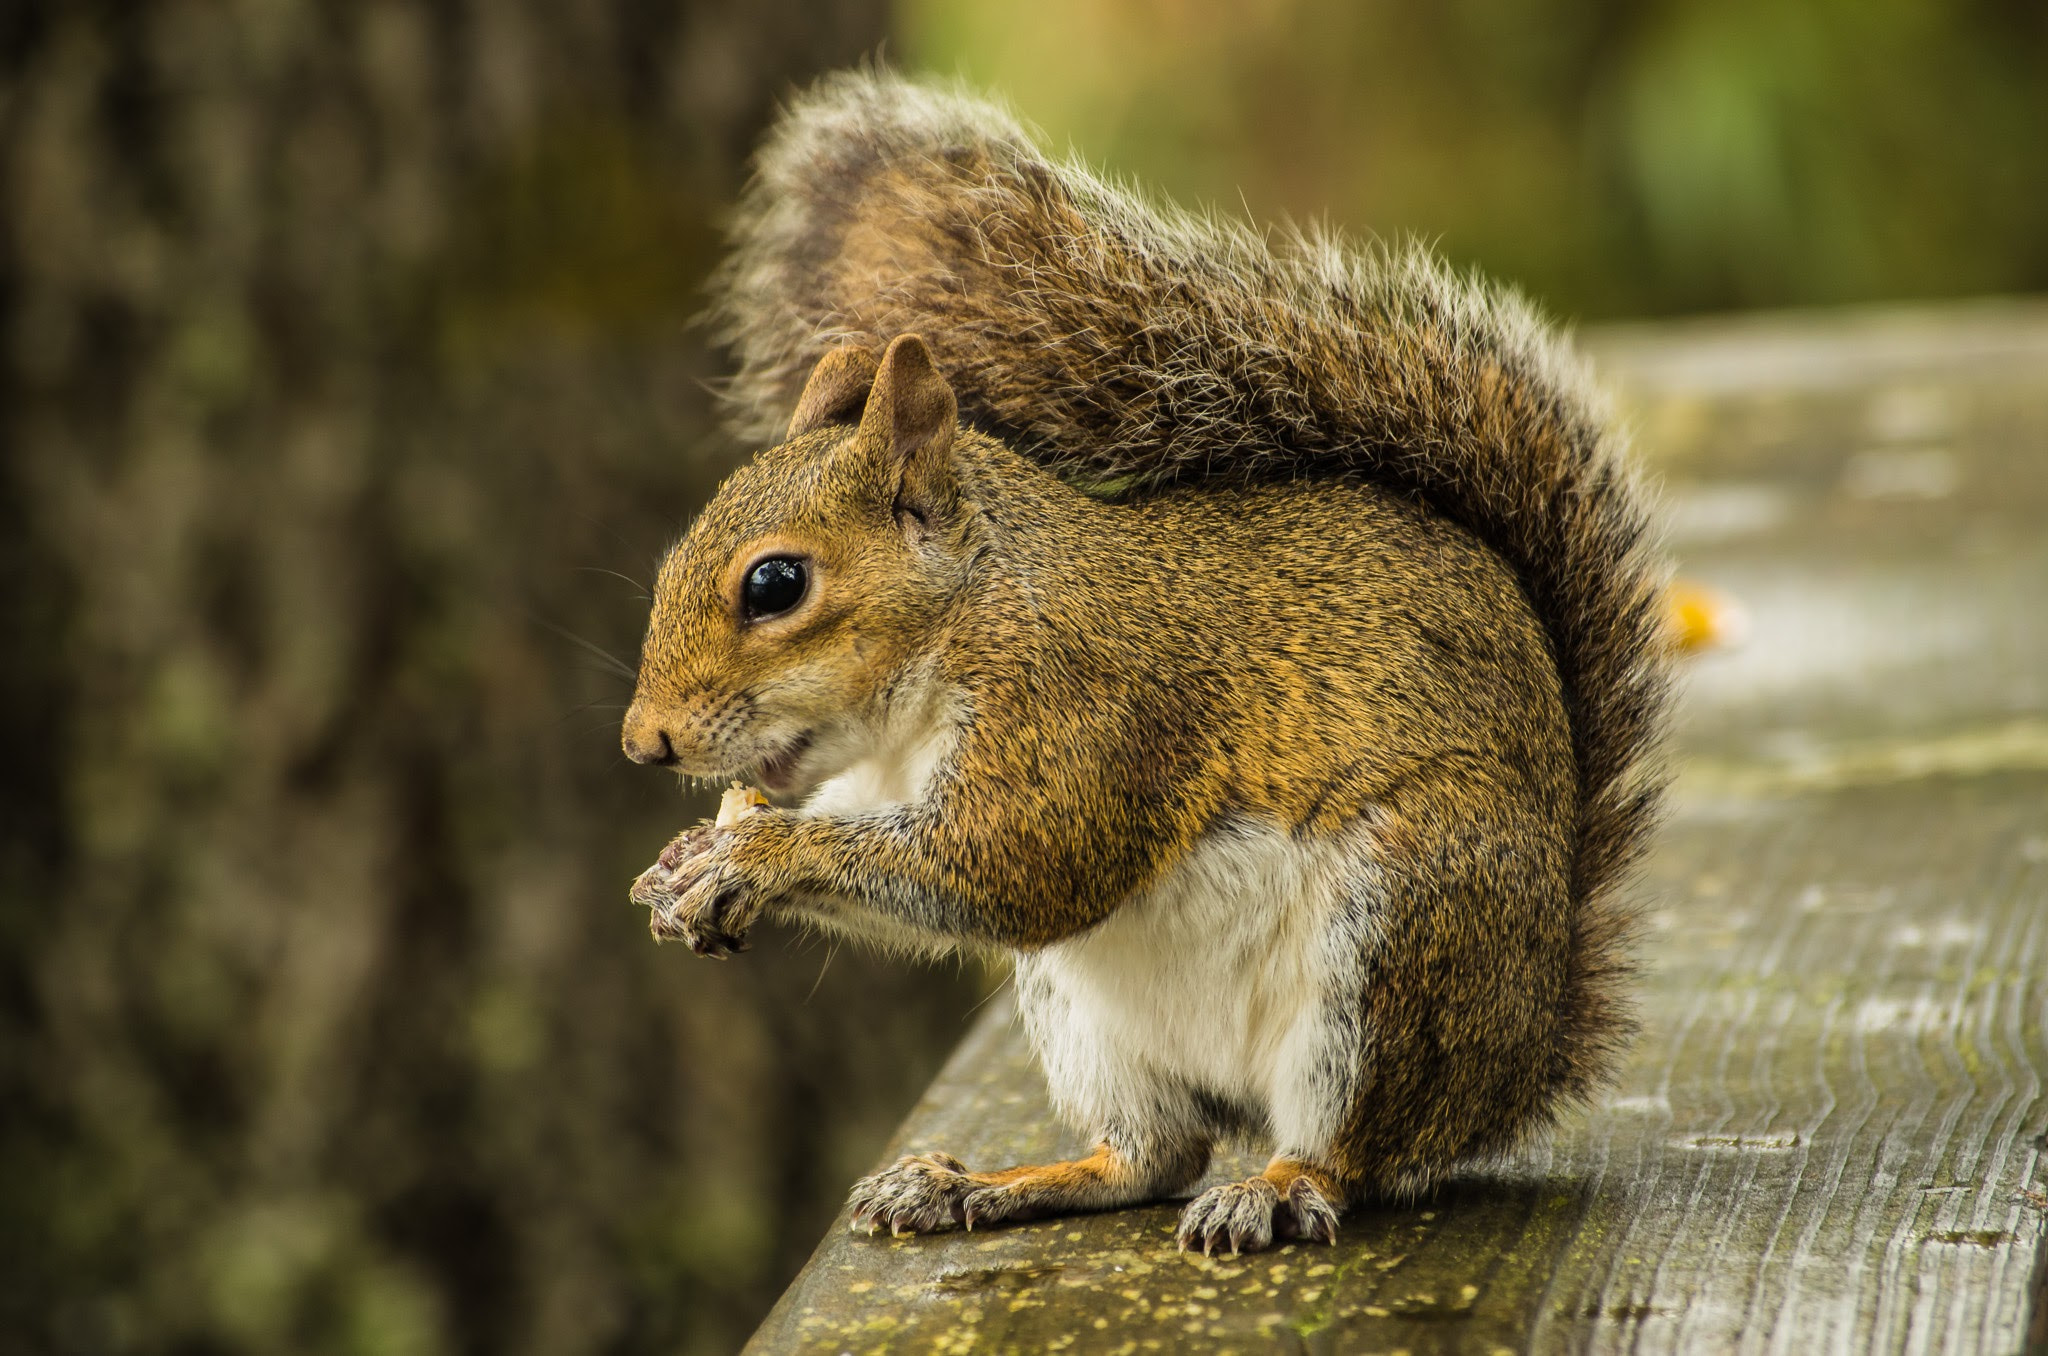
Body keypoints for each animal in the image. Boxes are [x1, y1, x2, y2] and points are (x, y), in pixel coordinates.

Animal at [626, 69, 1679, 1261]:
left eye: (775, 584)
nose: (643, 740)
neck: (959, 629)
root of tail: (1525, 1053)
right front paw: (681, 866)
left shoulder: (1088, 709)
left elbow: (1011, 864)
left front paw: (753, 856)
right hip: (1087, 1019)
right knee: (1151, 1157)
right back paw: (974, 1185)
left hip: (1400, 937)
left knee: (1351, 1152)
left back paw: (1276, 1188)